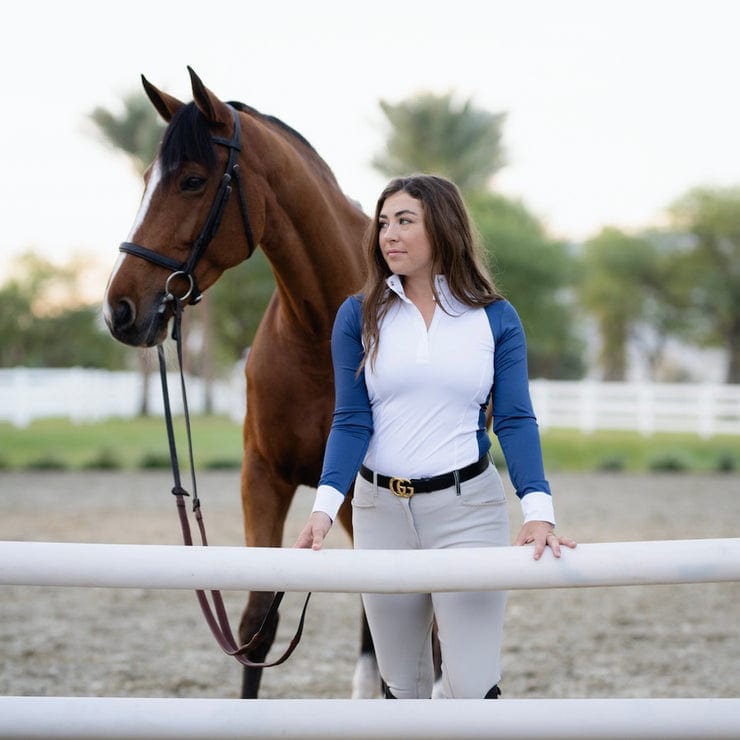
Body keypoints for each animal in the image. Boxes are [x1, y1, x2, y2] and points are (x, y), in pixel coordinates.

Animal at [103, 67, 378, 698]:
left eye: (193, 181)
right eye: (147, 178)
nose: (119, 310)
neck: (319, 334)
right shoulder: (264, 479)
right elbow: (257, 621)